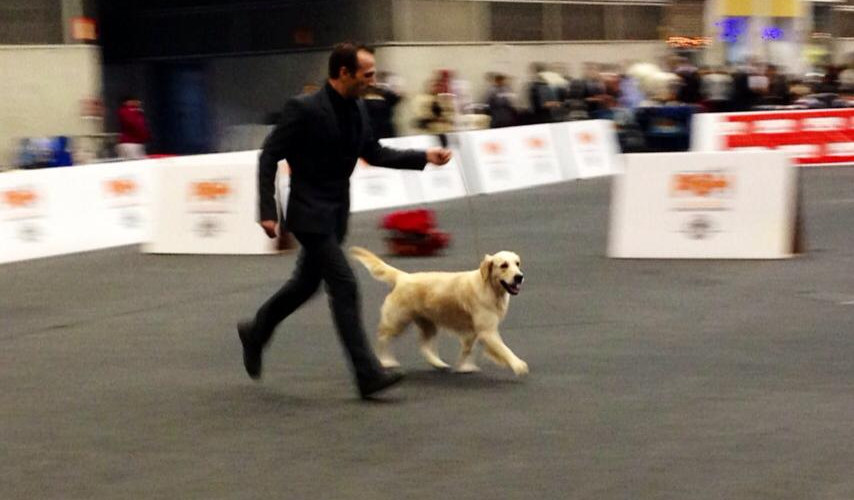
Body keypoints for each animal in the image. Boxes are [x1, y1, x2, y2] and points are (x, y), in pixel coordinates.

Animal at [349, 247, 528, 376]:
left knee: (424, 346)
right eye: (504, 265)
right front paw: (518, 365)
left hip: (428, 324)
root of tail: (403, 276)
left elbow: (467, 349)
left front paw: (464, 367)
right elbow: (505, 349)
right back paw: (386, 362)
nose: (519, 277)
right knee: (382, 338)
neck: (491, 289)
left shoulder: (472, 332)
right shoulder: (487, 331)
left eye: (517, 263)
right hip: (397, 320)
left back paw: (439, 364)